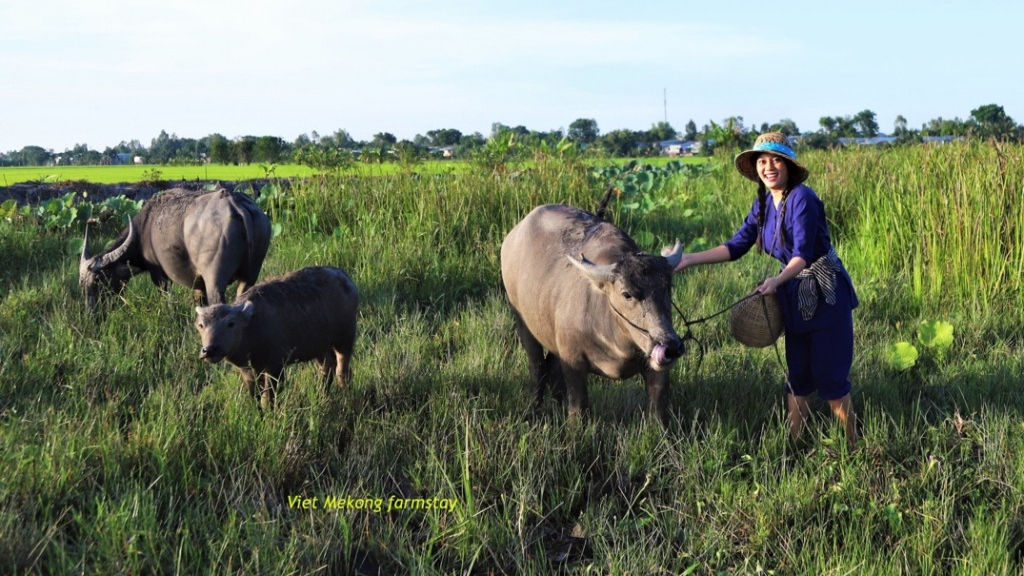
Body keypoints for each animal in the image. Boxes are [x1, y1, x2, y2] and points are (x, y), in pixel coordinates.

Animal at [79, 186, 272, 311]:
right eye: (82, 284)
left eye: (98, 281)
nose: (91, 314)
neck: (145, 228)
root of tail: (234, 202)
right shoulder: (198, 282)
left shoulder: (159, 274)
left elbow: (167, 298)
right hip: (249, 276)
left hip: (215, 281)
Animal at [192, 266, 360, 405]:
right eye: (201, 325)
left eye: (230, 323)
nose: (209, 350)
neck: (251, 329)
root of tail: (345, 278)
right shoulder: (248, 370)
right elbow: (256, 396)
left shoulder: (275, 366)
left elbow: (269, 397)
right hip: (319, 347)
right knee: (327, 367)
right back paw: (321, 395)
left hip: (345, 339)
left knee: (342, 370)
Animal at [499, 201, 684, 422]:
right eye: (627, 294)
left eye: (668, 287)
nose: (670, 345)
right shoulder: (573, 361)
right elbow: (578, 406)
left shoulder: (657, 371)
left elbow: (657, 410)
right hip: (523, 323)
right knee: (538, 367)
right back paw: (536, 408)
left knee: (552, 368)